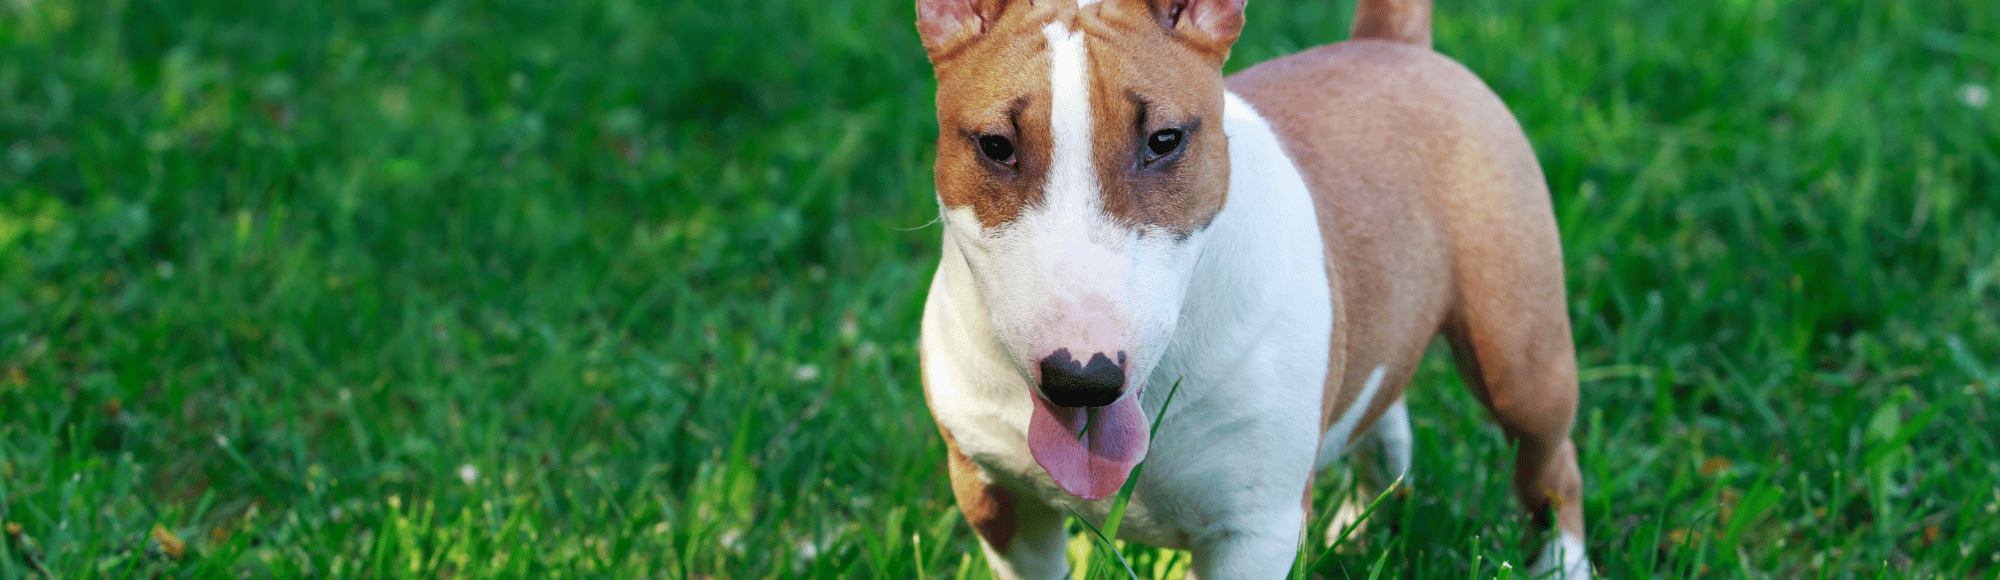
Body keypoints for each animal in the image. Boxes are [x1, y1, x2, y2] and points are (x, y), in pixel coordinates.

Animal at [916, 0, 1592, 576]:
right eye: (995, 146)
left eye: (1165, 141)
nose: (1083, 378)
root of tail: (1390, 43)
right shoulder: (994, 495)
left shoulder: (1253, 529)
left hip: (1519, 352)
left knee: (1550, 464)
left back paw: (1561, 563)